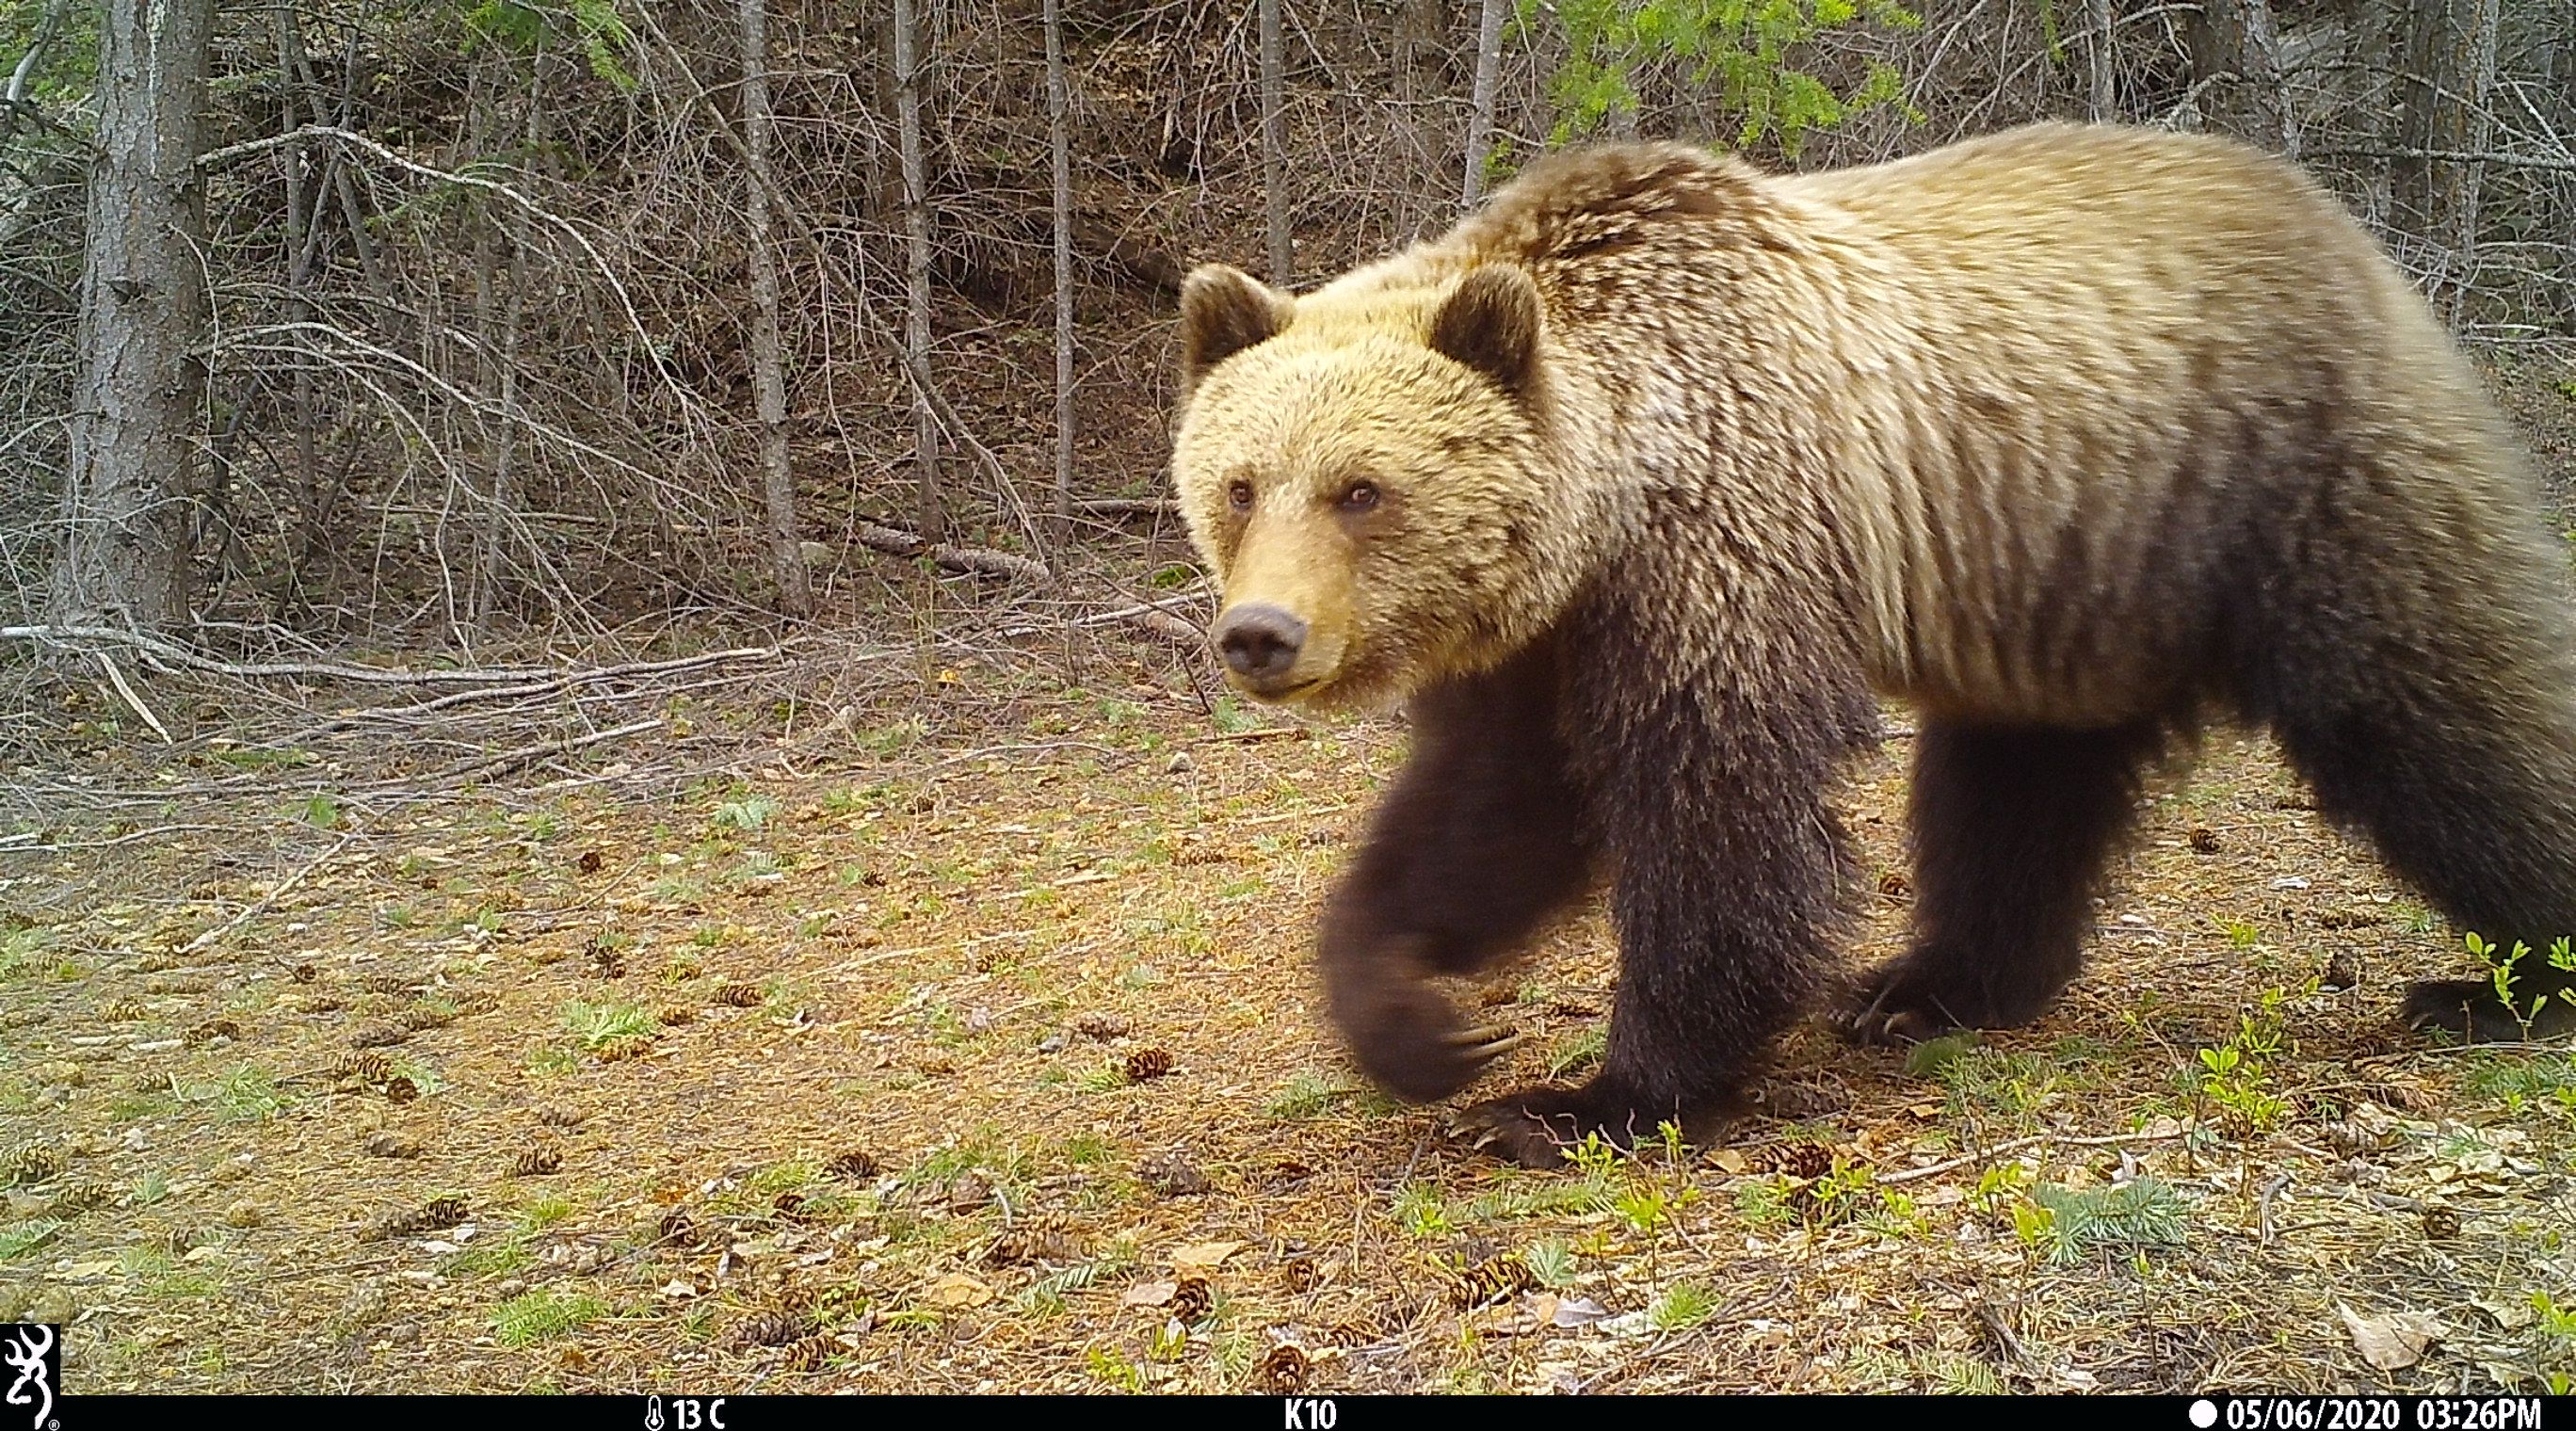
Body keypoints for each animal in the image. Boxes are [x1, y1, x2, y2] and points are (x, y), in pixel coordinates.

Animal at [1164, 122, 2576, 1168]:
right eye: (1240, 484)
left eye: (1362, 489)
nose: (1260, 634)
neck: (1617, 488)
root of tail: (2353, 236)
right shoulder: (1553, 629)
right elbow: (1491, 812)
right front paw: (1412, 1020)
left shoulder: (1728, 530)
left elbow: (1715, 805)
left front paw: (1601, 1093)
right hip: (2067, 581)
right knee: (2014, 791)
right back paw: (1928, 983)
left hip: (2295, 481)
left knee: (2436, 715)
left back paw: (2507, 982)